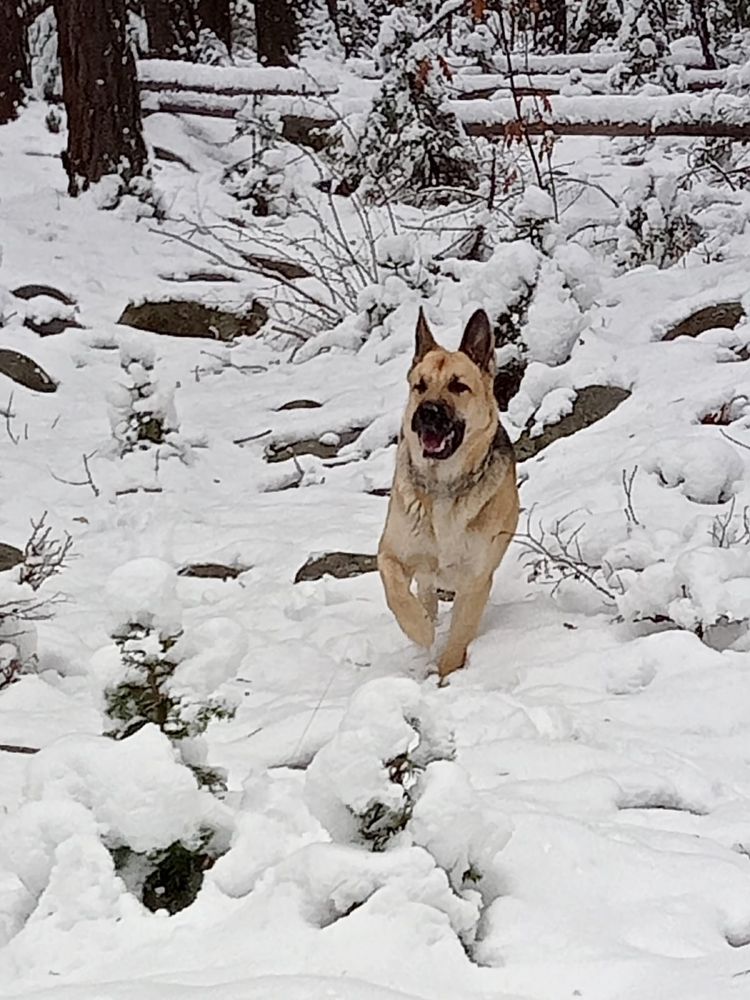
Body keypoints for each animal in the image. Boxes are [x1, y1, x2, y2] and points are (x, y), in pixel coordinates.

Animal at [378, 304, 520, 680]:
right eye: (420, 386)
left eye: (458, 386)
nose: (427, 413)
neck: (443, 487)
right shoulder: (391, 554)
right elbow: (396, 594)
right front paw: (421, 630)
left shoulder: (475, 581)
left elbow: (458, 639)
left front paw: (445, 675)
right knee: (424, 592)